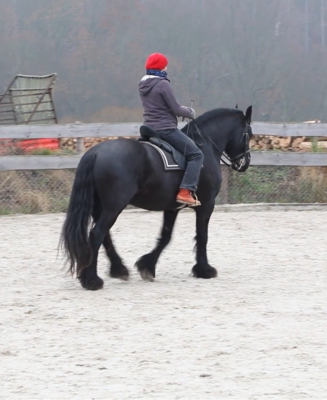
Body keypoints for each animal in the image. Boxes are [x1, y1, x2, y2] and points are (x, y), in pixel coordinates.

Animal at [60, 105, 254, 290]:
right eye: (249, 134)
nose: (245, 163)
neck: (204, 146)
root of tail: (95, 153)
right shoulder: (206, 204)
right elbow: (202, 235)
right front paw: (204, 270)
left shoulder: (172, 207)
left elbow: (166, 236)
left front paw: (147, 266)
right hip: (113, 207)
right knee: (97, 235)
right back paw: (92, 280)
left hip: (101, 207)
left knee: (105, 236)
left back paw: (118, 269)